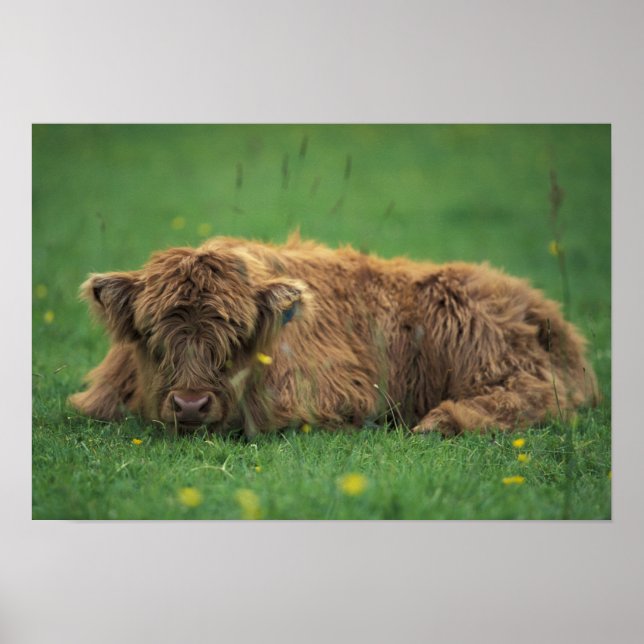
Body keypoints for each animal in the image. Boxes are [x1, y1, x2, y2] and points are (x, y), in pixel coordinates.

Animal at [69, 233, 598, 437]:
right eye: (153, 331)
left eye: (238, 332)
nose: (191, 404)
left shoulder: (337, 394)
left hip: (487, 352)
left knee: (537, 395)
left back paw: (440, 421)